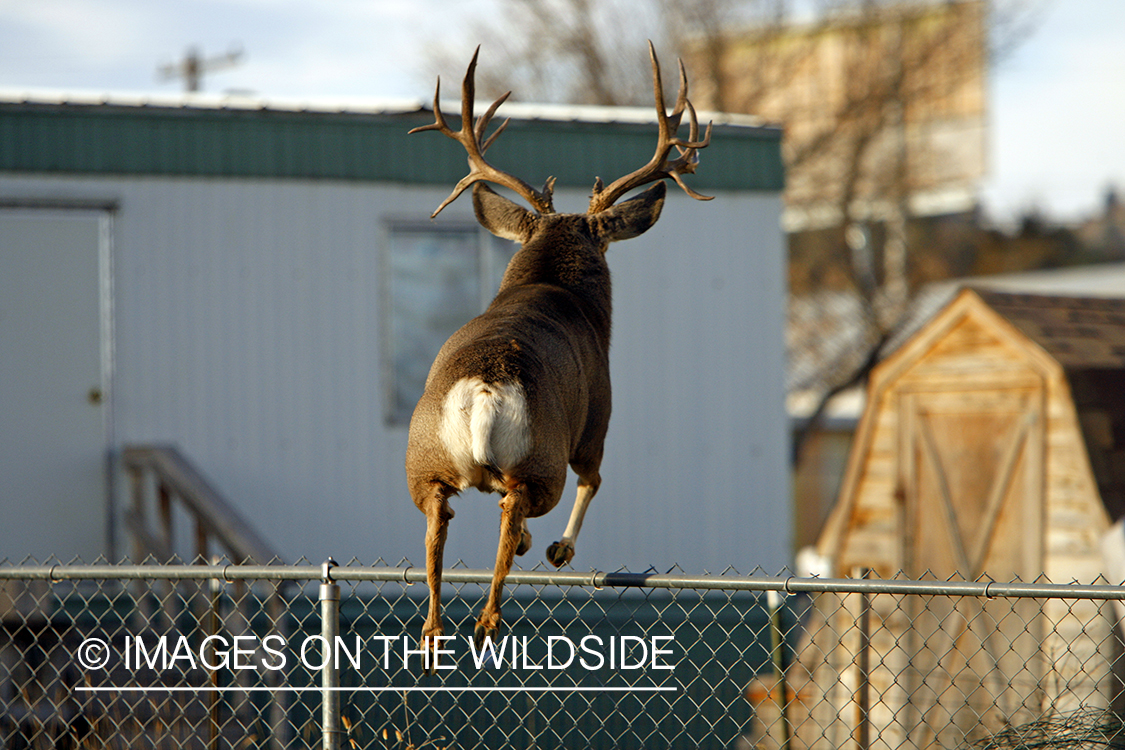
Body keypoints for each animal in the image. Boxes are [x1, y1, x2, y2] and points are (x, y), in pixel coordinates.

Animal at [405, 41, 711, 665]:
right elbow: (595, 480)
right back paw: (490, 618)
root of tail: (484, 388)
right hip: (542, 457)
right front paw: (559, 550)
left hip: (423, 461)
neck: (547, 286)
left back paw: (434, 634)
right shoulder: (598, 416)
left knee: (440, 521)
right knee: (517, 505)